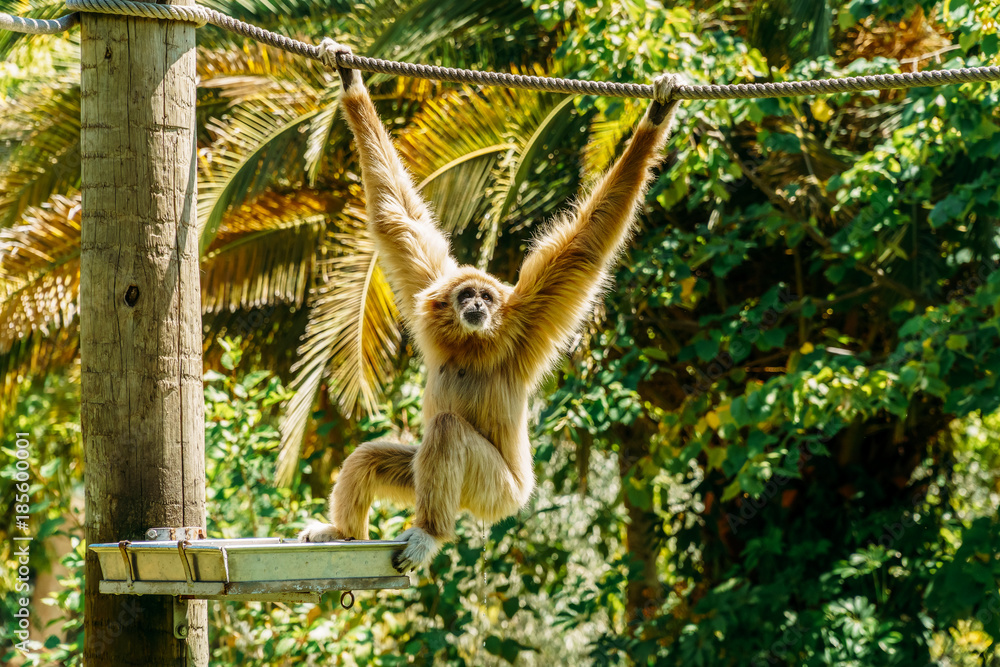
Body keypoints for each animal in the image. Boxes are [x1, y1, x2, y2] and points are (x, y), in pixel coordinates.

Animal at [300, 39, 682, 574]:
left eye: (486, 297)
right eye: (467, 295)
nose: (478, 303)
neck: (471, 343)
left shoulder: (525, 318)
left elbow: (584, 248)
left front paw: (656, 114)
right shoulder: (431, 300)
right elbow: (396, 218)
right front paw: (349, 80)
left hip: (495, 492)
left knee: (446, 433)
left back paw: (429, 533)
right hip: (443, 482)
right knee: (371, 458)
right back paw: (342, 531)